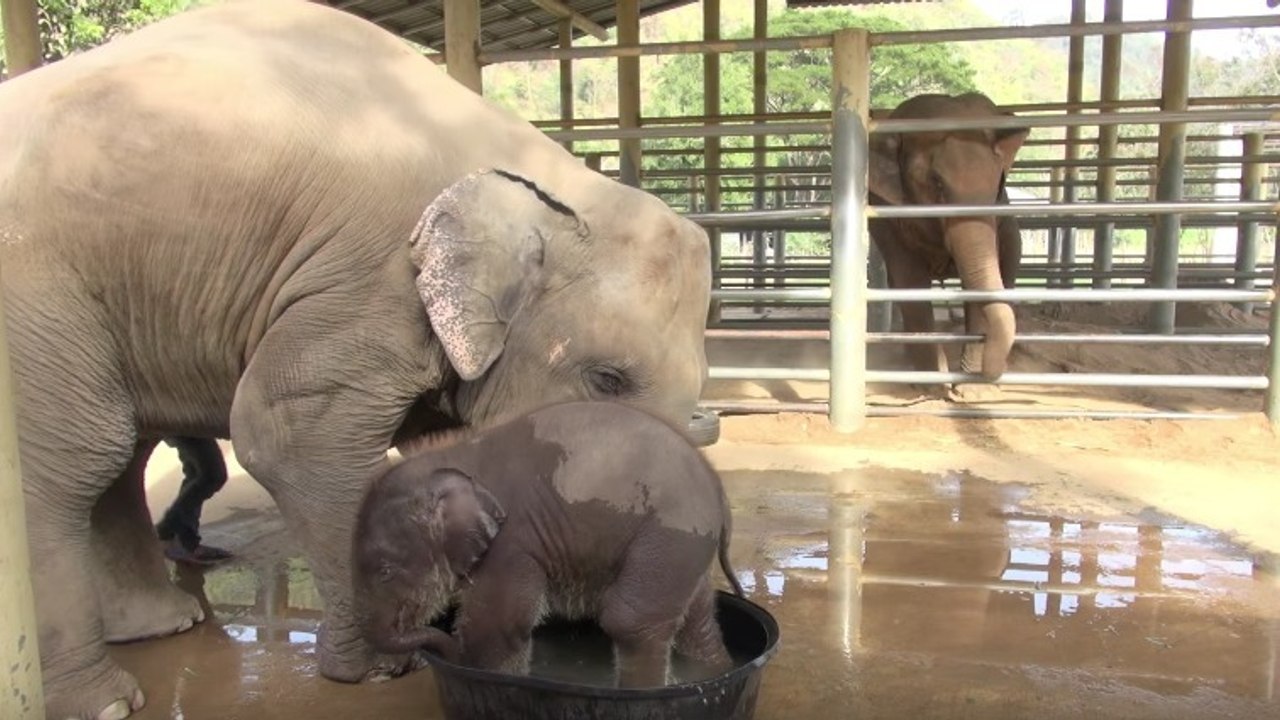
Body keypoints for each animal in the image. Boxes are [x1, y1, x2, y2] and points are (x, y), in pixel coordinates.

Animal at [352, 400, 746, 689]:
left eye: (385, 571)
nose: (386, 672)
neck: (453, 457)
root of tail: (716, 482)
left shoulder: (511, 544)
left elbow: (497, 628)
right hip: (687, 550)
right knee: (698, 622)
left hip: (668, 537)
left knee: (630, 621)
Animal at [868, 92, 1030, 398]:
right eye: (937, 183)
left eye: (998, 185)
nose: (992, 371)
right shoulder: (889, 217)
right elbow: (910, 281)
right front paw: (932, 388)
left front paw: (973, 391)